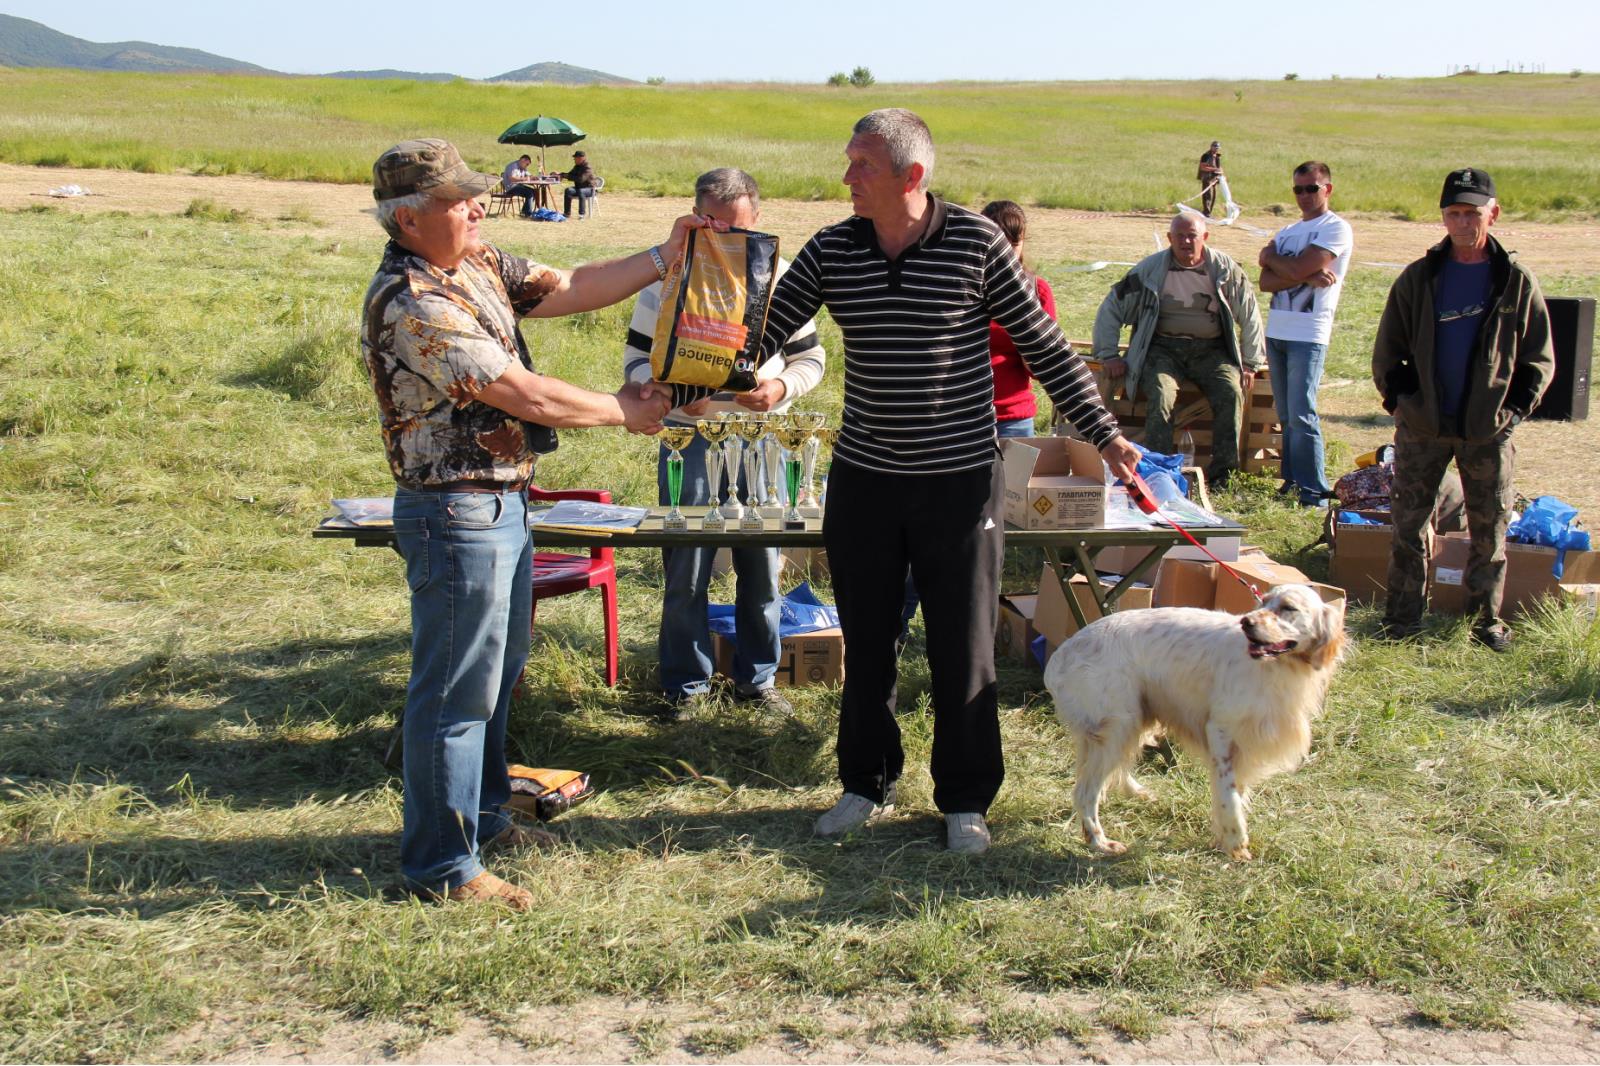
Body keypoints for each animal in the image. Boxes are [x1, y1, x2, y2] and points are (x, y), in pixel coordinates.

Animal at [1044, 583, 1344, 860]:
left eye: (1288, 608)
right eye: (1264, 601)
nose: (1246, 622)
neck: (1276, 668)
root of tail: (1059, 657)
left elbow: (1233, 794)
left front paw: (1224, 838)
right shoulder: (1221, 731)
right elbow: (1229, 796)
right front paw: (1236, 844)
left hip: (1132, 721)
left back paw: (1136, 792)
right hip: (1116, 727)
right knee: (1085, 792)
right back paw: (1099, 842)